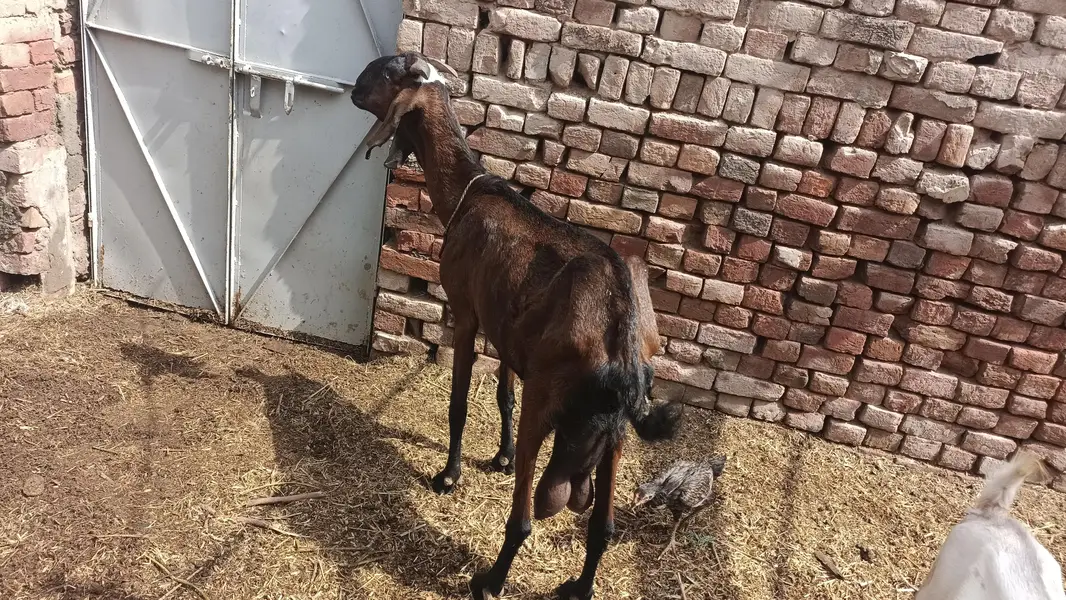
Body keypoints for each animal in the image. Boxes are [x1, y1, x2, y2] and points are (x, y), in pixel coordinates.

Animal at [352, 52, 682, 600]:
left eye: (385, 72)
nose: (353, 90)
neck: (469, 192)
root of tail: (620, 337)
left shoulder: (466, 313)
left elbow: (460, 402)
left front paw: (449, 476)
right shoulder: (504, 326)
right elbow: (503, 392)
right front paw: (501, 456)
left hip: (546, 403)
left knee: (525, 519)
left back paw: (489, 580)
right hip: (614, 439)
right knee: (603, 527)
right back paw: (577, 587)